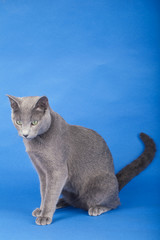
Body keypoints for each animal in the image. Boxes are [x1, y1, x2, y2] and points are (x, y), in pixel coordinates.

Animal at [6, 95, 156, 225]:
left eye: (34, 122)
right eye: (18, 122)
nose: (25, 134)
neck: (36, 144)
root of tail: (116, 182)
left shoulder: (57, 171)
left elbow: (50, 194)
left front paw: (45, 216)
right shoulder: (42, 172)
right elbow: (45, 192)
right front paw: (42, 209)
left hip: (100, 186)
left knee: (115, 203)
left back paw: (97, 208)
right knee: (74, 201)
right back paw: (61, 202)